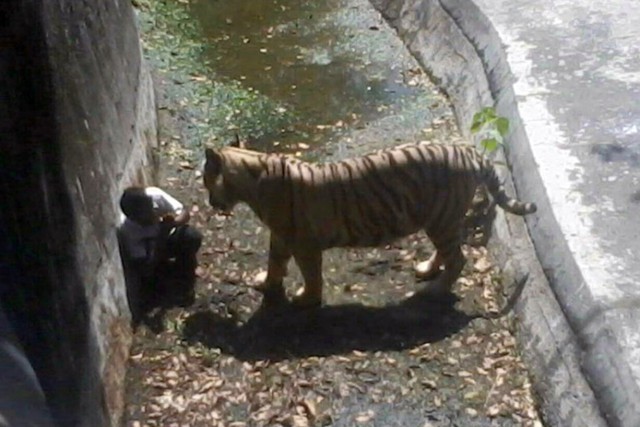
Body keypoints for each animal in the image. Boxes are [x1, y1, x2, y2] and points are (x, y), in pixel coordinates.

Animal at [204, 142, 536, 310]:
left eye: (206, 180)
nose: (209, 202)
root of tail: (470, 152)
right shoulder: (281, 236)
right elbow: (274, 262)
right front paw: (266, 283)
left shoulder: (304, 244)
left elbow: (311, 275)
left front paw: (305, 299)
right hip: (439, 220)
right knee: (448, 252)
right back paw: (427, 270)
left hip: (442, 219)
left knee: (459, 258)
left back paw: (435, 289)